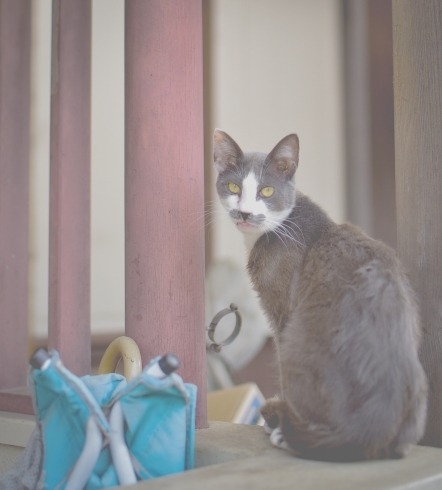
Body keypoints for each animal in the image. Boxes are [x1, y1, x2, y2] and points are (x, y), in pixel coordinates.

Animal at [212, 128, 426, 462]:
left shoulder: (281, 310)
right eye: (233, 186)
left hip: (297, 340)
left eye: (267, 191)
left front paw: (282, 415)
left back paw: (289, 432)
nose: (244, 212)